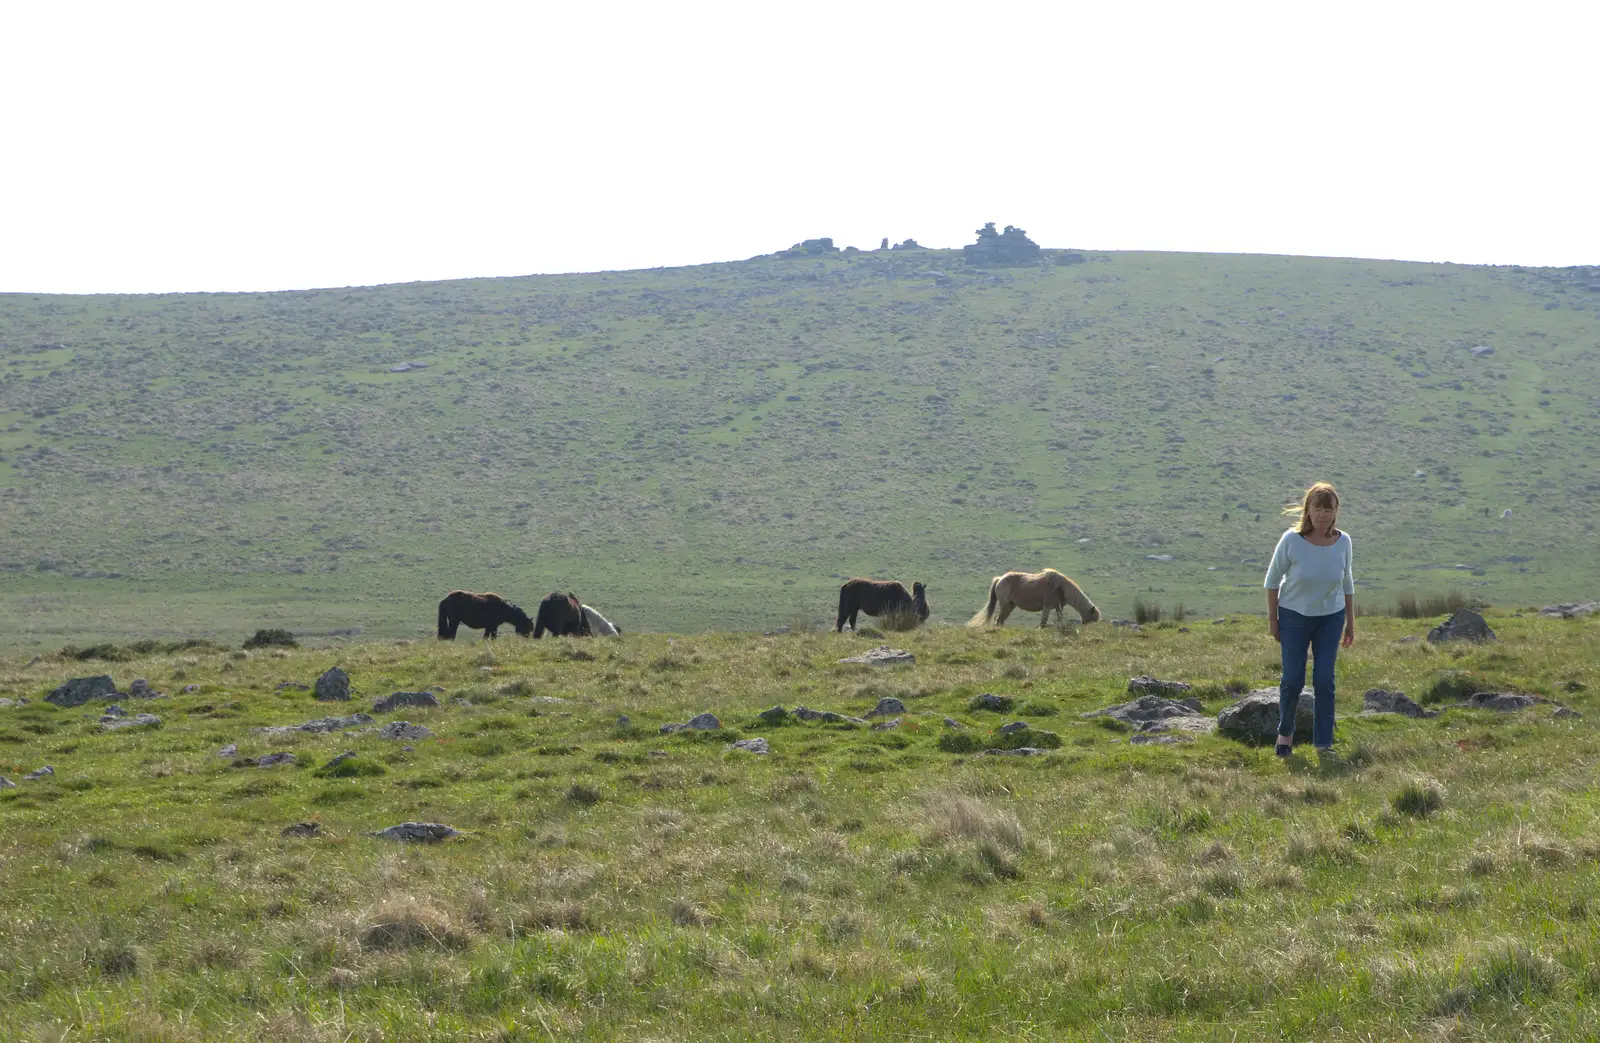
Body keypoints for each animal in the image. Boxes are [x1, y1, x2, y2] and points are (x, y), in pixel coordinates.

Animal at [960, 569, 1100, 627]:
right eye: (1092, 618)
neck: (1060, 587)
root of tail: (1000, 579)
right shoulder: (1047, 607)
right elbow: (1043, 623)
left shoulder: (1057, 607)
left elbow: (1059, 619)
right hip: (1005, 605)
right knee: (999, 621)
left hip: (1010, 606)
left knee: (1001, 620)